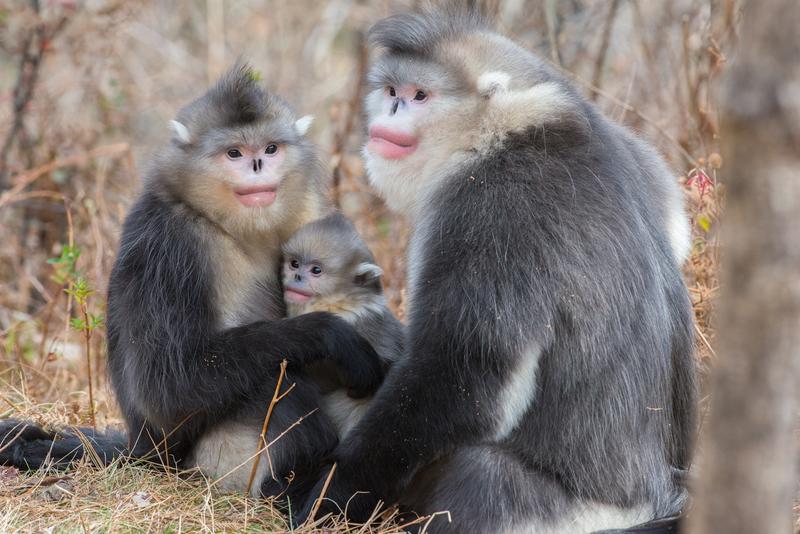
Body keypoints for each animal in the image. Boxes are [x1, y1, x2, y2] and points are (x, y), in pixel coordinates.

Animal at [0, 65, 384, 503]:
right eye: (234, 153)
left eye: (270, 148)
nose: (257, 165)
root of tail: (145, 449)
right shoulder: (170, 244)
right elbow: (168, 388)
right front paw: (332, 334)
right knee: (276, 381)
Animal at [295, 7, 696, 534]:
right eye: (392, 90)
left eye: (420, 96)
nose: (391, 114)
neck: (509, 129)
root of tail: (656, 500)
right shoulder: (641, 158)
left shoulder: (488, 206)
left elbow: (464, 376)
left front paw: (329, 494)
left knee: (477, 470)